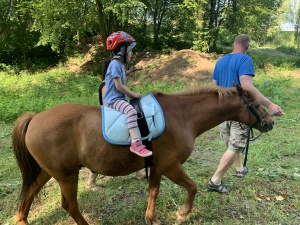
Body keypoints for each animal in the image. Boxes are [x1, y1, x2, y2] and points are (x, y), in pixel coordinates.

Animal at [11, 85, 274, 225]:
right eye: (255, 103)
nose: (270, 122)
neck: (182, 116)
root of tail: (34, 118)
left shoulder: (157, 167)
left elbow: (153, 193)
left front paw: (152, 218)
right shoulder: (170, 166)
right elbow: (192, 187)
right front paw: (182, 213)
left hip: (48, 172)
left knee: (30, 193)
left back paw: (22, 219)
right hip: (66, 176)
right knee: (70, 205)